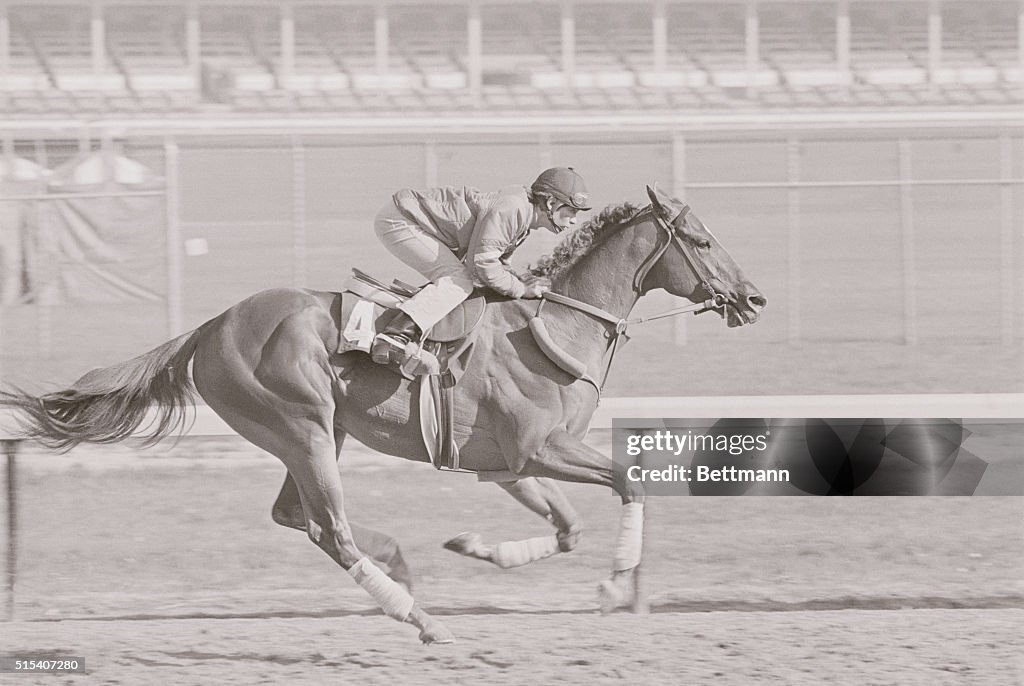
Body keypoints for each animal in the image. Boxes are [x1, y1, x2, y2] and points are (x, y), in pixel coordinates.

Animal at [0, 184, 765, 647]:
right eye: (700, 240)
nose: (754, 298)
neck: (554, 325)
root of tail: (212, 325)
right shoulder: (538, 448)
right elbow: (629, 483)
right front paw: (612, 583)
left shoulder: (506, 463)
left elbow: (569, 528)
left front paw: (481, 548)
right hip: (303, 425)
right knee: (328, 529)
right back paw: (417, 615)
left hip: (317, 434)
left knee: (296, 517)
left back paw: (398, 563)